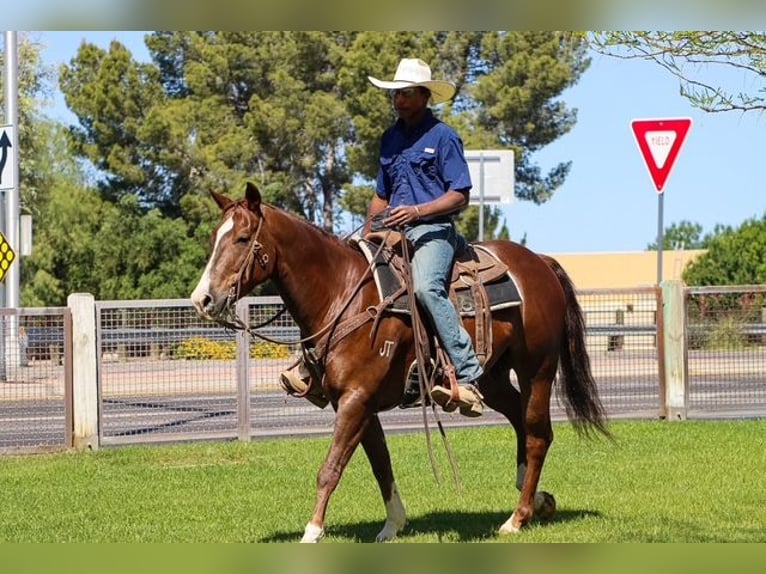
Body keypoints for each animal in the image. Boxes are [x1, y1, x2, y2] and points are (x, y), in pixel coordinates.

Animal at [191, 181, 610, 542]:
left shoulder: (356, 400)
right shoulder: (357, 404)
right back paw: (535, 497)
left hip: (537, 368)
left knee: (538, 434)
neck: (342, 294)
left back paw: (517, 517)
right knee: (520, 421)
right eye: (214, 239)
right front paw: (393, 525)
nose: (202, 299)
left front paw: (311, 533)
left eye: (242, 238)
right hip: (491, 378)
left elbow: (331, 468)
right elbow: (381, 464)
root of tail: (539, 262)